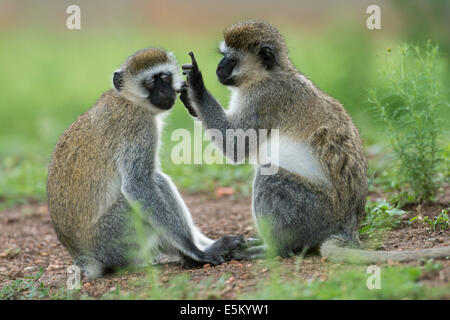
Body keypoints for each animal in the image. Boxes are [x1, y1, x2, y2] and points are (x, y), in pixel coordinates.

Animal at [48, 46, 244, 278]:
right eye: (150, 82)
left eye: (165, 77)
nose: (165, 92)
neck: (130, 100)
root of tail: (82, 256)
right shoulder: (139, 128)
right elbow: (138, 186)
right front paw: (197, 251)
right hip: (113, 237)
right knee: (154, 183)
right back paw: (192, 256)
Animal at [180, 21, 450, 264]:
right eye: (223, 56)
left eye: (231, 59)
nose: (219, 68)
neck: (270, 74)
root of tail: (347, 224)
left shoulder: (262, 99)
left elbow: (236, 146)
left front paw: (196, 87)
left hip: (311, 212)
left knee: (270, 177)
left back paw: (274, 248)